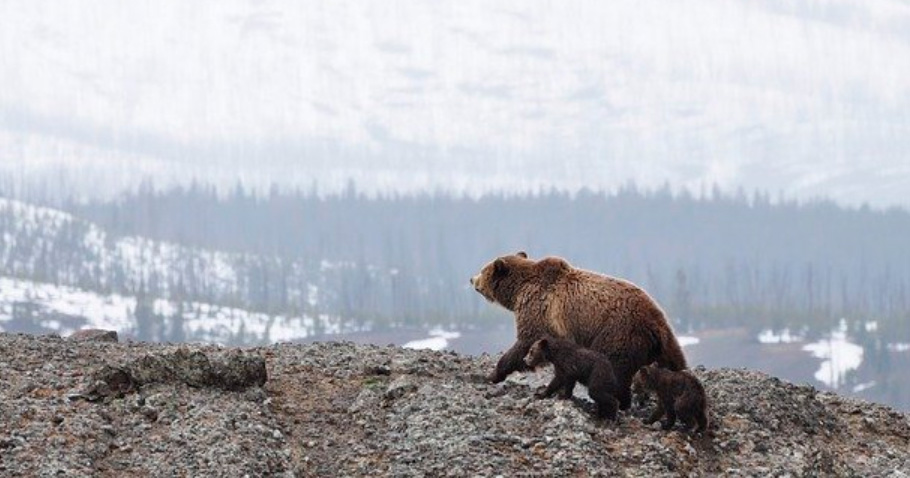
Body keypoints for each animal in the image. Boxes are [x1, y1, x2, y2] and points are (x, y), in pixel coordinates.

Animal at [470, 251, 687, 409]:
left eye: (483, 269)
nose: (472, 279)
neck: (518, 291)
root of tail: (656, 322)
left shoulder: (538, 310)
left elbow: (524, 343)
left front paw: (493, 374)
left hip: (618, 333)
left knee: (615, 369)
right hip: (661, 345)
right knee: (674, 363)